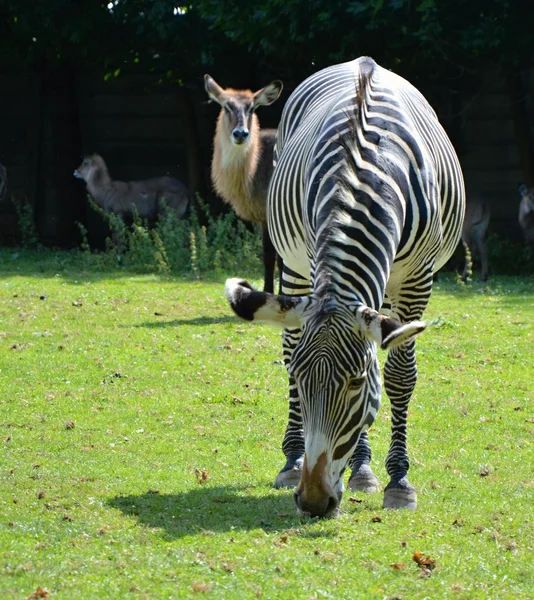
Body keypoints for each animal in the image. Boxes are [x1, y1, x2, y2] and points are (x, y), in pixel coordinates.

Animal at [225, 55, 464, 516]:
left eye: (356, 383)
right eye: (300, 380)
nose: (314, 501)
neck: (366, 172)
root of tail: (361, 62)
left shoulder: (417, 279)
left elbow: (399, 375)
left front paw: (399, 481)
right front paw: (361, 468)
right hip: (293, 264)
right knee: (289, 342)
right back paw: (305, 461)